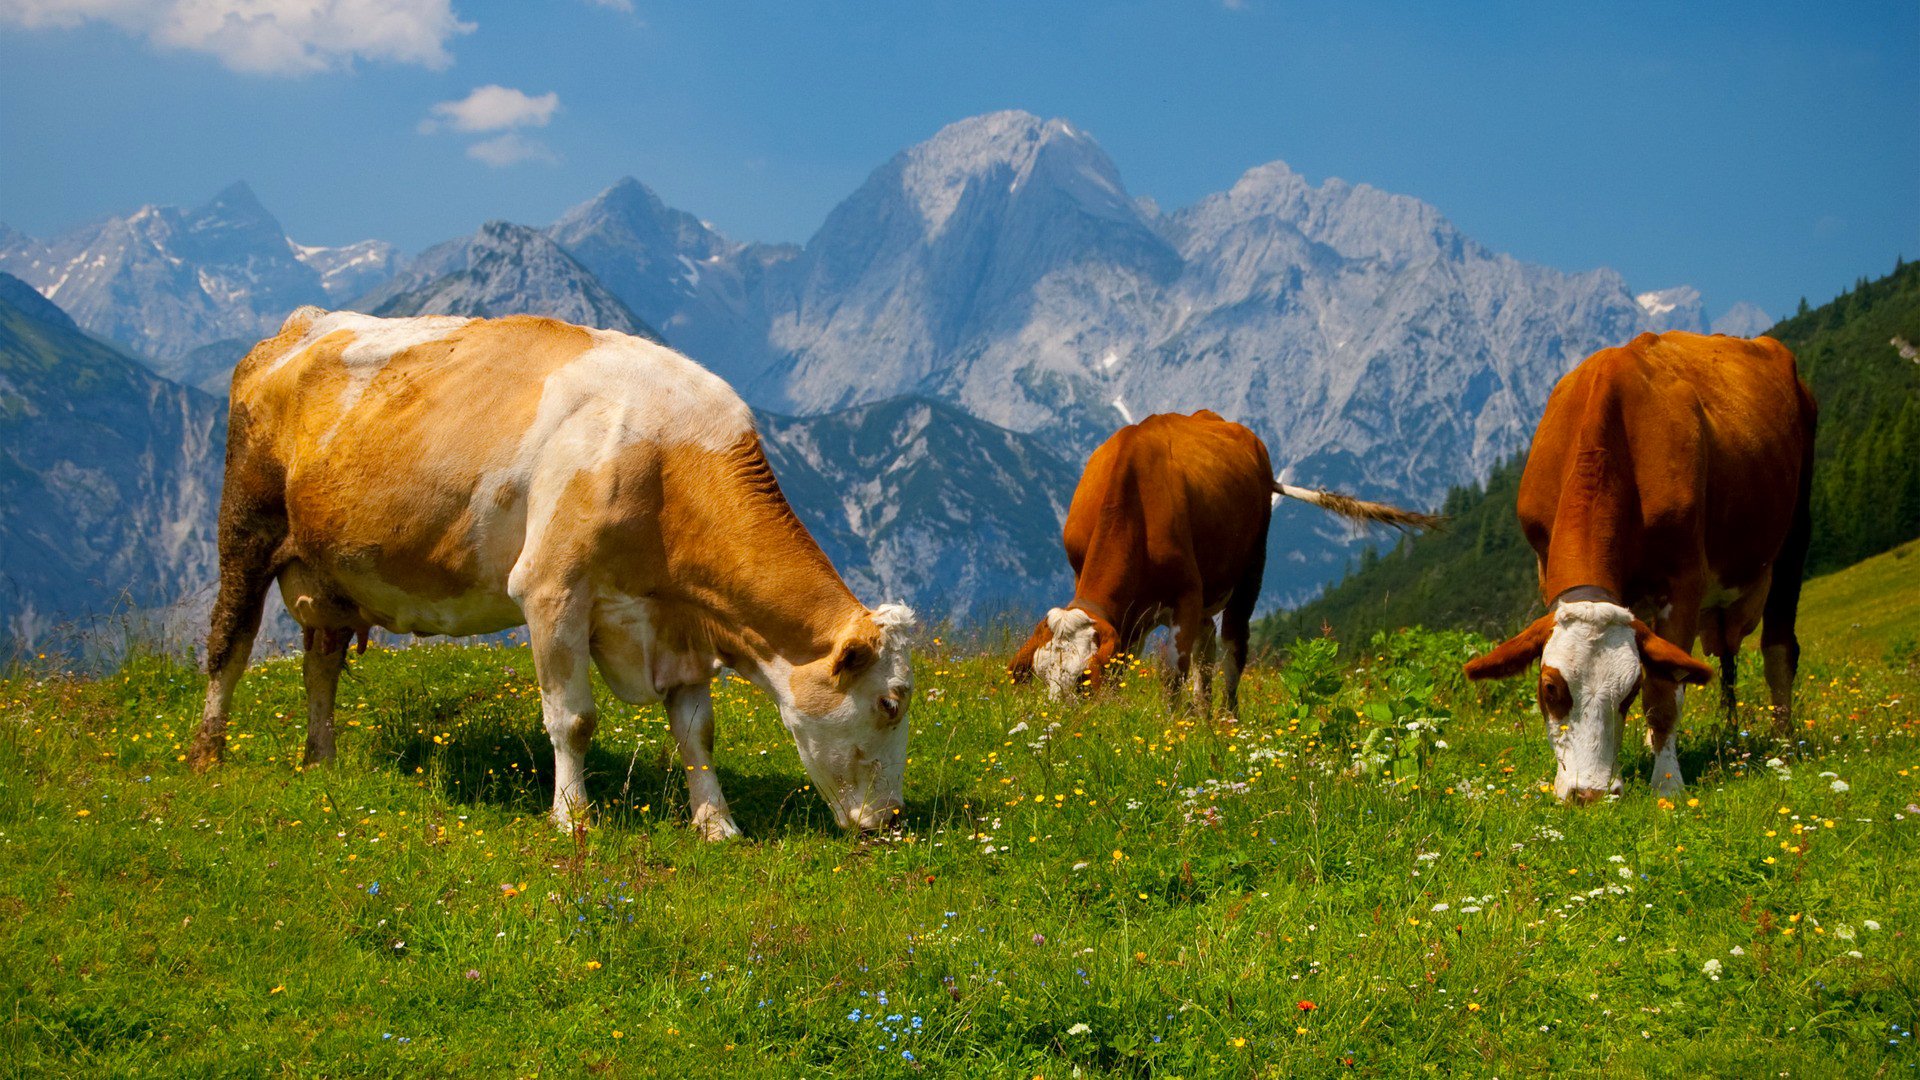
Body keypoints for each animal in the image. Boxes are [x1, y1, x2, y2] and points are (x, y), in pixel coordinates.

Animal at [183, 307, 917, 837]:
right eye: (889, 703)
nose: (892, 820)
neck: (670, 458)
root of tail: (298, 325)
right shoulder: (551, 588)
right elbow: (573, 719)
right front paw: (572, 819)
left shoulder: (680, 620)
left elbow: (695, 729)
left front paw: (717, 824)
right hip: (246, 529)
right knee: (229, 644)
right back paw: (208, 756)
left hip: (330, 571)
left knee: (322, 663)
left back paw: (322, 760)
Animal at [1013, 407, 1436, 711]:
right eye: (1041, 676)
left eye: (1082, 681)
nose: (1056, 724)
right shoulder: (1121, 611)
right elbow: (1124, 668)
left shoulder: (1185, 596)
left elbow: (1173, 676)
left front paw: (1174, 734)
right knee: (1207, 651)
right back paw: (1204, 718)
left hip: (1250, 571)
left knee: (1233, 648)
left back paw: (1226, 720)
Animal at [1459, 328, 1820, 799]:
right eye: (1550, 687)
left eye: (1628, 691)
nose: (1589, 794)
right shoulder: (1546, 569)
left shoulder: (1684, 580)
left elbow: (1664, 693)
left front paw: (1667, 783)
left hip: (1794, 533)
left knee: (1779, 650)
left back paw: (1783, 743)